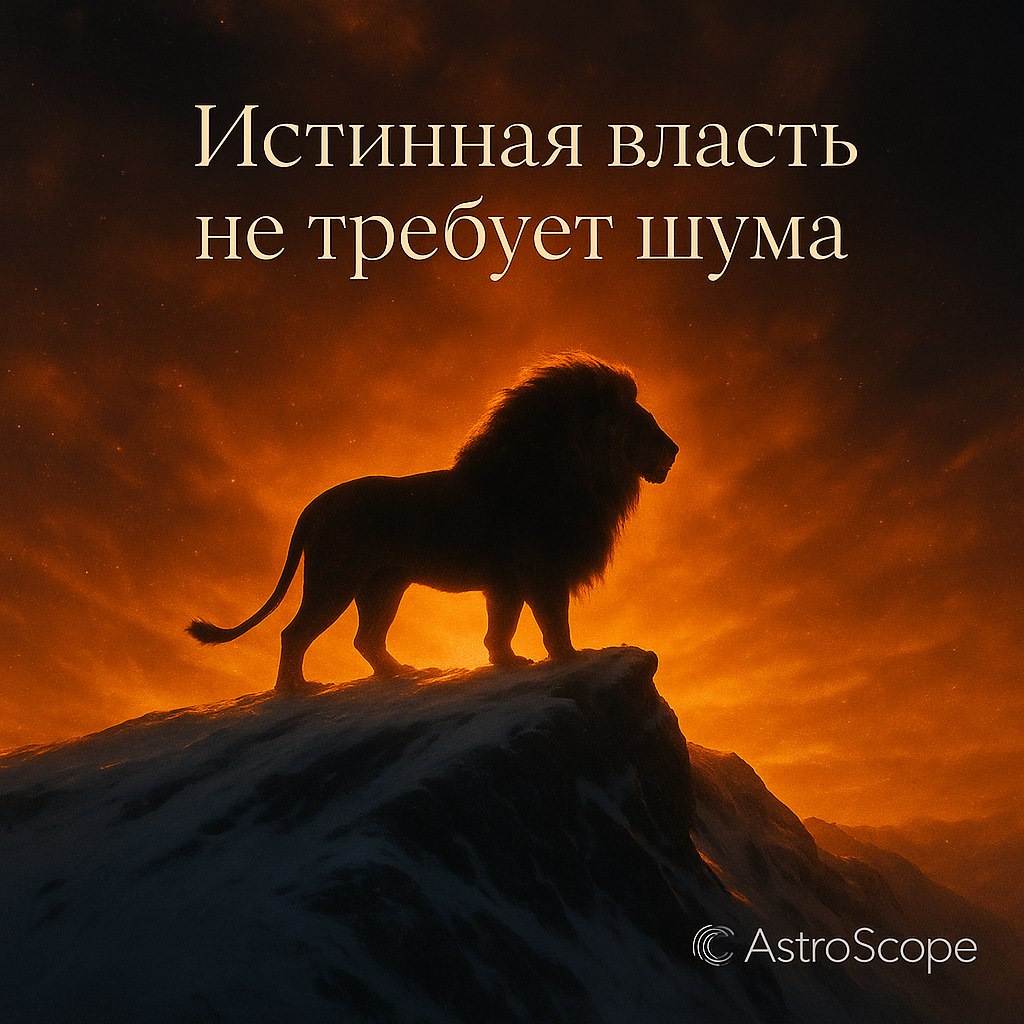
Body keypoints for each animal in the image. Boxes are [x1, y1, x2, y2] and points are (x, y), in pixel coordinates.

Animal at [187, 353, 678, 693]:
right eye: (646, 424)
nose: (675, 450)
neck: (581, 473)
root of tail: (316, 502)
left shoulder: (505, 582)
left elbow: (501, 629)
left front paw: (509, 662)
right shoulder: (543, 572)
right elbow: (555, 623)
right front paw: (570, 658)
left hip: (384, 585)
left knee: (366, 638)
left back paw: (399, 672)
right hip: (336, 579)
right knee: (295, 633)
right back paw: (295, 689)